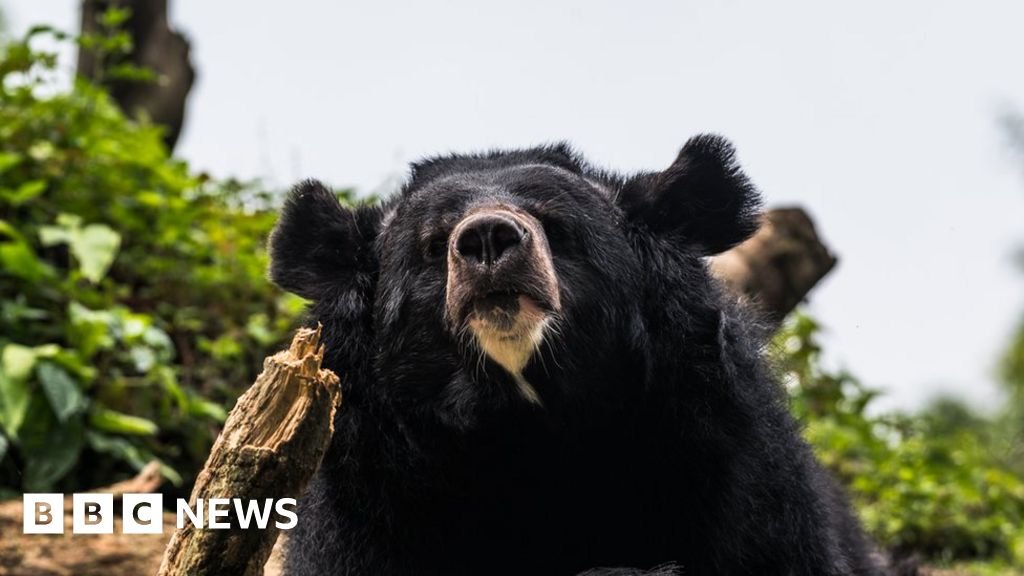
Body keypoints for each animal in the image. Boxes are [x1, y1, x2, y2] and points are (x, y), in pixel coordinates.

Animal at [268, 135, 884, 573]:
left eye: (556, 225)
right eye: (432, 243)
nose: (487, 238)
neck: (531, 426)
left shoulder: (737, 470)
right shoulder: (371, 502)